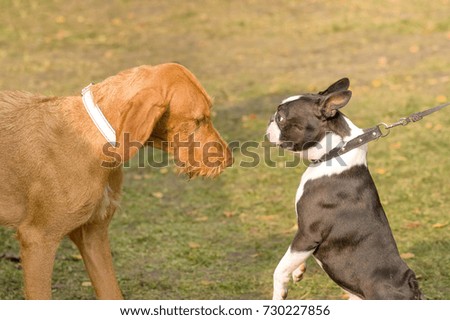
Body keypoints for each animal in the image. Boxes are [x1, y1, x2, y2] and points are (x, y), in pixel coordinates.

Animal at [0, 63, 232, 300]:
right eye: (198, 120)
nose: (229, 159)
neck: (95, 139)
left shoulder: (93, 235)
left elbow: (112, 292)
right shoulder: (38, 240)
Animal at [266, 78, 424, 300]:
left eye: (281, 117)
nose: (270, 119)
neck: (335, 151)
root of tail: (411, 287)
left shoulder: (308, 233)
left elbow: (280, 268)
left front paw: (280, 292)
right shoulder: (302, 237)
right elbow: (292, 256)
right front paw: (298, 270)